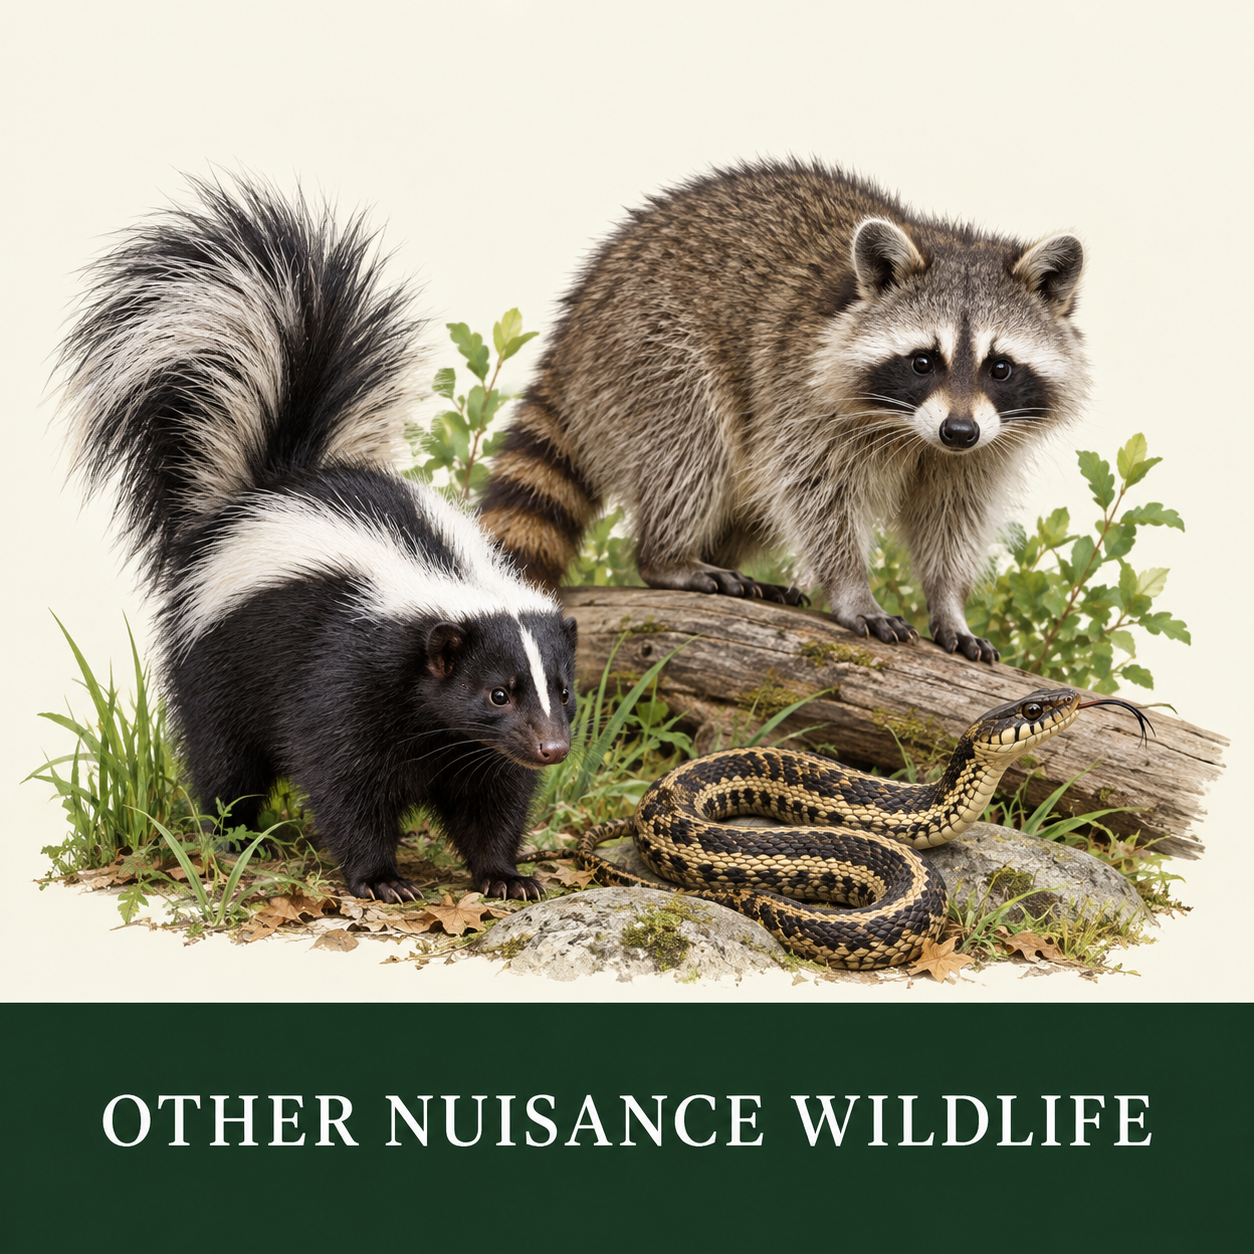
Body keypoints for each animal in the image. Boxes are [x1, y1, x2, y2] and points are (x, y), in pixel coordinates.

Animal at [480, 160, 1089, 662]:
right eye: (923, 362)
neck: (917, 435)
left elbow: (954, 517)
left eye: (1000, 368)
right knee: (691, 446)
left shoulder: (986, 445)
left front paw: (949, 602)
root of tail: (571, 333)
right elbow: (817, 493)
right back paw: (669, 555)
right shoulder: (803, 394)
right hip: (646, 351)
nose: (958, 431)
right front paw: (851, 587)